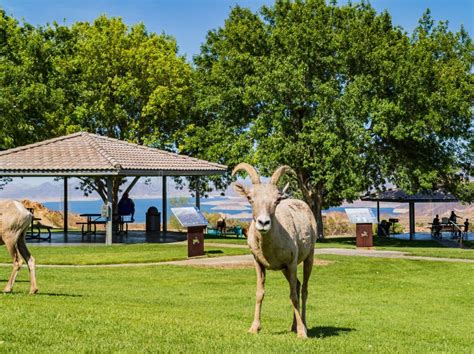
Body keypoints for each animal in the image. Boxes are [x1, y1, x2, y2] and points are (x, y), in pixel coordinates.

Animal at [232, 163, 316, 338]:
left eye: (277, 200)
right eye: (250, 198)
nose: (263, 223)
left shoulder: (292, 264)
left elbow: (293, 296)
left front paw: (302, 334)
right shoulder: (259, 264)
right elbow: (260, 293)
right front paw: (254, 328)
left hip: (309, 258)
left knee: (303, 289)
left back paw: (304, 325)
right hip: (285, 270)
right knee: (298, 285)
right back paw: (293, 326)